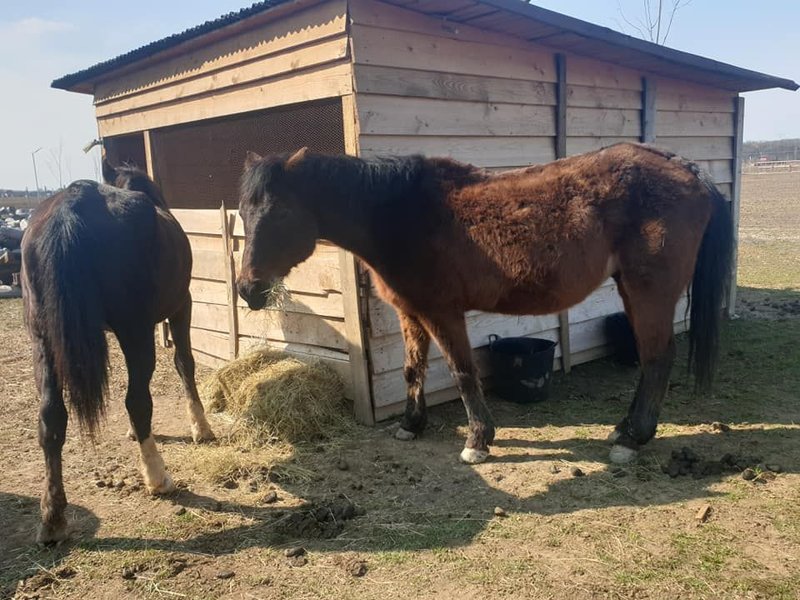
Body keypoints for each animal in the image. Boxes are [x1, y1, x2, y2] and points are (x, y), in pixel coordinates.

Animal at [22, 161, 214, 544]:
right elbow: (184, 363)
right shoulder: (181, 306)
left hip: (43, 340)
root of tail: (73, 205)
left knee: (51, 417)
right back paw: (158, 478)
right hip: (136, 328)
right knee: (137, 401)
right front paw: (201, 428)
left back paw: (53, 519)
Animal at [238, 143, 732, 466]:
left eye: (281, 214)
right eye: (243, 213)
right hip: (632, 290)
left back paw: (632, 440)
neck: (400, 214)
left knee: (657, 358)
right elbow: (412, 370)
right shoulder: (410, 312)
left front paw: (478, 439)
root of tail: (686, 168)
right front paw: (411, 425)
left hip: (650, 292)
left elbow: (462, 371)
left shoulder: (442, 312)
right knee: (652, 359)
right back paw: (625, 429)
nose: (247, 289)